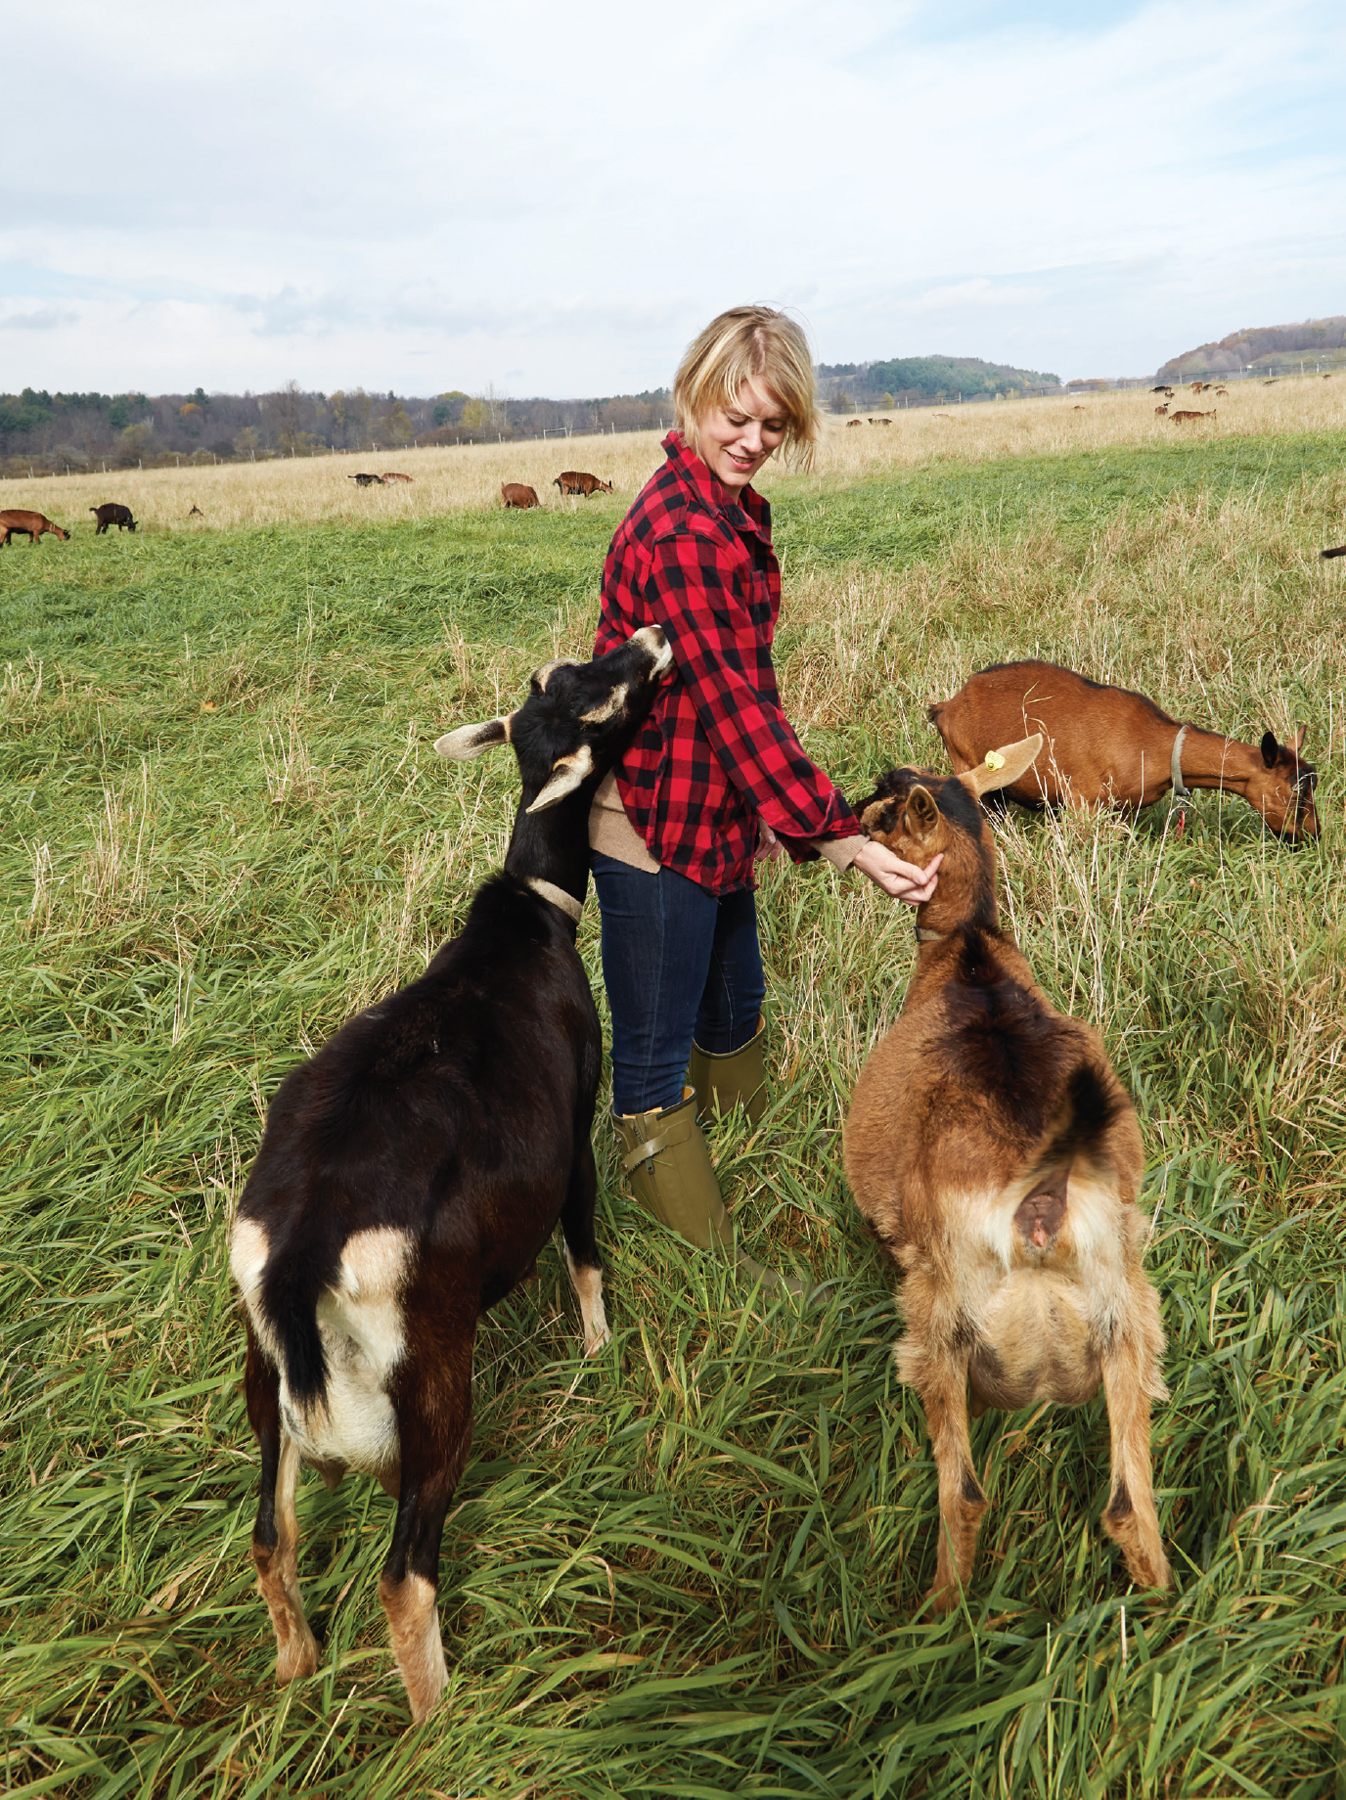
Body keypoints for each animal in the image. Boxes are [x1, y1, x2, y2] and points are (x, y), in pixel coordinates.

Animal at [228, 626, 683, 1720]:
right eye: (601, 697)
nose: (652, 639)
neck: (525, 919)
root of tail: (304, 1245)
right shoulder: (574, 1135)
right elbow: (586, 1247)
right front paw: (600, 1348)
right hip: (434, 1387)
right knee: (405, 1576)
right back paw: (440, 1717)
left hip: (264, 1378)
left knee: (269, 1537)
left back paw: (296, 1667)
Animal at [845, 738, 1173, 1612]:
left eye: (885, 808)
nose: (848, 814)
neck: (972, 953)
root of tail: (1043, 1206)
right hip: (1129, 1317)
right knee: (1129, 1507)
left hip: (940, 1325)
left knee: (963, 1495)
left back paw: (933, 1615)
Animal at [928, 662, 1317, 842]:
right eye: (1294, 792)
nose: (1311, 837)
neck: (1156, 746)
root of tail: (947, 707)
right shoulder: (1081, 805)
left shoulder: (1124, 808)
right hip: (970, 770)